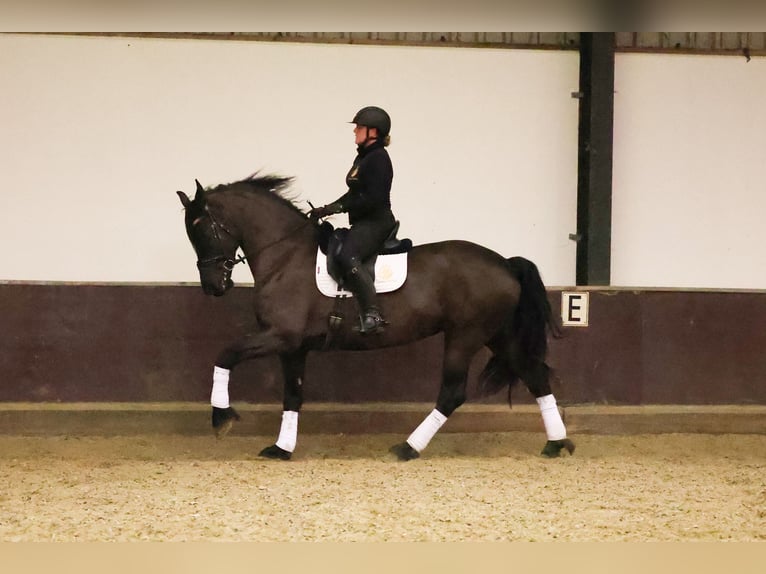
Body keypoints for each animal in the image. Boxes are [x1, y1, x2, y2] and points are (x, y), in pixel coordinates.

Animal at [176, 174, 575, 460]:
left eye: (202, 228)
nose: (213, 286)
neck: (285, 256)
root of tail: (505, 263)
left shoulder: (280, 336)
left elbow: (225, 355)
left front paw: (222, 418)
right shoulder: (293, 347)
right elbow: (293, 395)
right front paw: (281, 448)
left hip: (466, 336)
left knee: (453, 393)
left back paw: (408, 447)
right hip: (499, 336)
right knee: (536, 377)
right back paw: (556, 444)